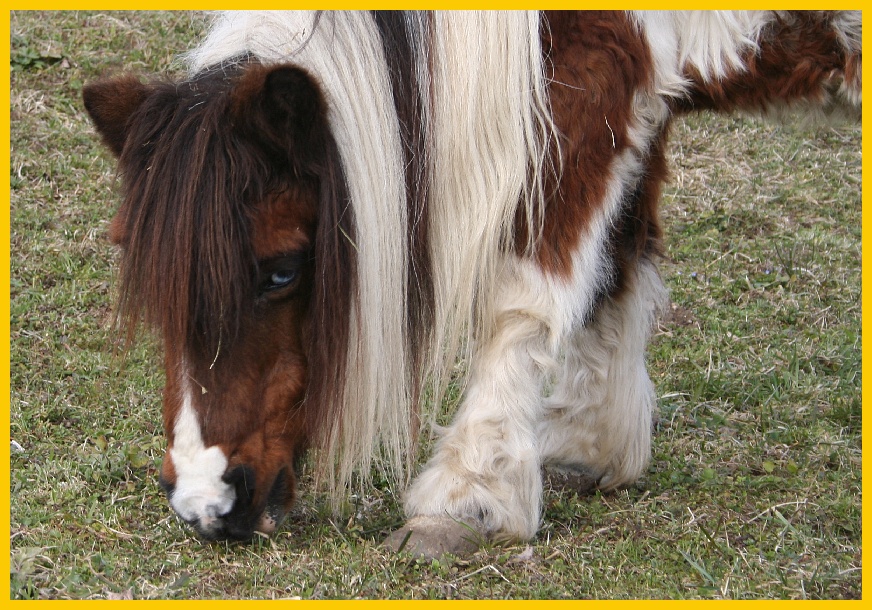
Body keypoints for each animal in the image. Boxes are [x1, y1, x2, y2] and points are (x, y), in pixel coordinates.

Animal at [83, 10, 864, 552]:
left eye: (282, 269)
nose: (204, 503)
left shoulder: (588, 88)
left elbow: (530, 294)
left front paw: (469, 495)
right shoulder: (638, 96)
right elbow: (614, 262)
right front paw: (589, 445)